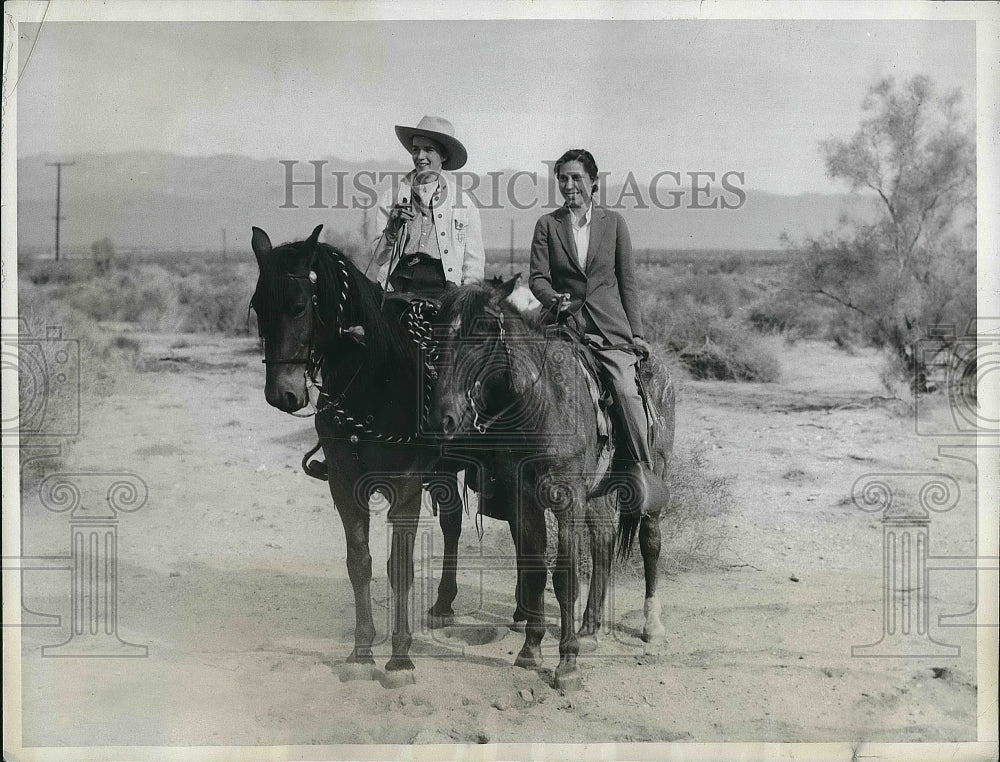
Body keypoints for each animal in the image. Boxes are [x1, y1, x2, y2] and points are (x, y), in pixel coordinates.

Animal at [252, 223, 466, 680]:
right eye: (257, 306)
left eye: (299, 306)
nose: (282, 395)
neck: (377, 381)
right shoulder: (345, 485)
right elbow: (359, 563)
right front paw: (362, 648)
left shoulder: (406, 488)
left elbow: (399, 566)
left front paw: (400, 657)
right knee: (454, 520)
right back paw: (443, 602)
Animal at [432, 280, 676, 688]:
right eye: (438, 338)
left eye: (481, 334)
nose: (445, 418)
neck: (542, 403)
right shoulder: (525, 500)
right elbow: (533, 570)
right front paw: (531, 649)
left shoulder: (566, 500)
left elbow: (564, 578)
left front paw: (567, 663)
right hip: (596, 494)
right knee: (605, 540)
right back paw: (591, 628)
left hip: (656, 474)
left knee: (650, 542)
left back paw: (652, 627)